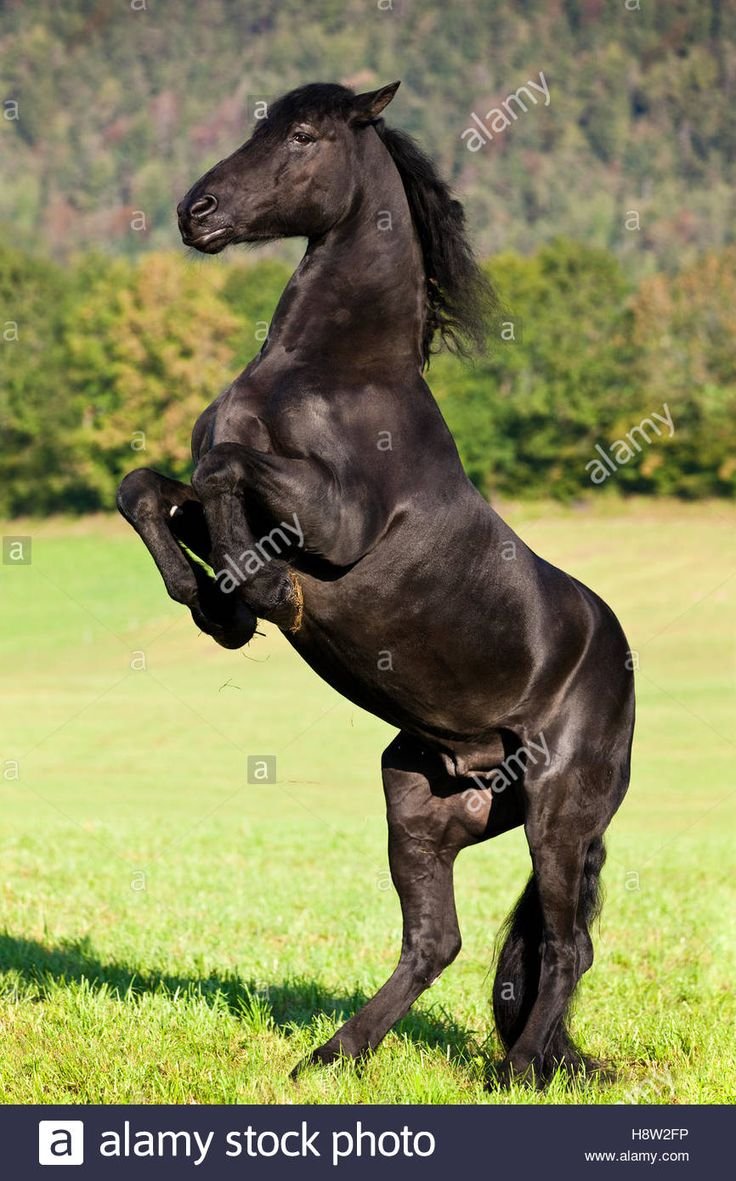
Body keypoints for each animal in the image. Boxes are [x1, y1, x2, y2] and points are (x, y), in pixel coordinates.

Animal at [117, 81, 635, 1086]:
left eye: (304, 135)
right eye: (258, 124)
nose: (195, 212)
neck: (329, 374)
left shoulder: (336, 520)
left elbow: (226, 471)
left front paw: (257, 596)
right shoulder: (213, 486)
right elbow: (149, 487)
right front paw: (211, 604)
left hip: (560, 810)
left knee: (565, 944)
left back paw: (516, 1072)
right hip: (423, 801)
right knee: (437, 940)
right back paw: (332, 1054)